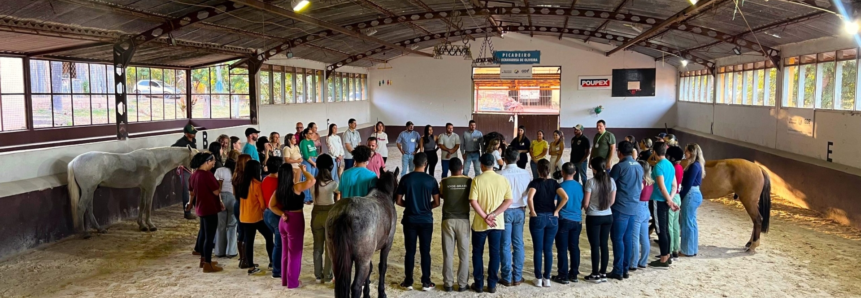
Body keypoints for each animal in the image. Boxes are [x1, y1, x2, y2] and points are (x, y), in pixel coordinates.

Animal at [67, 146, 198, 236]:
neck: (156, 161)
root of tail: (74, 161)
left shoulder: (143, 187)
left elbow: (142, 205)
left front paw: (142, 225)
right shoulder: (150, 187)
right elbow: (148, 206)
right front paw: (151, 225)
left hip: (91, 190)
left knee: (89, 208)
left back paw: (100, 229)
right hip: (87, 190)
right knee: (81, 207)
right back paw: (85, 233)